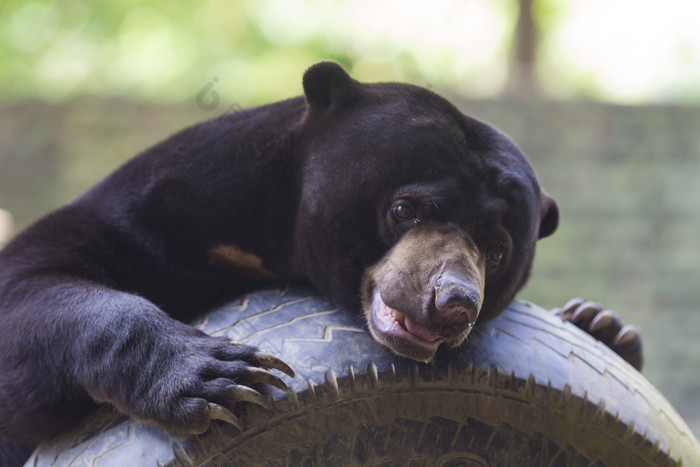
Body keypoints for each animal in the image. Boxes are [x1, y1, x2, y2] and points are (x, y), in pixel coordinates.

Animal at [0, 61, 640, 460]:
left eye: (498, 249)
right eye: (405, 208)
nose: (454, 301)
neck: (271, 239)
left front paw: (602, 325)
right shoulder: (155, 202)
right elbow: (33, 285)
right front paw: (220, 377)